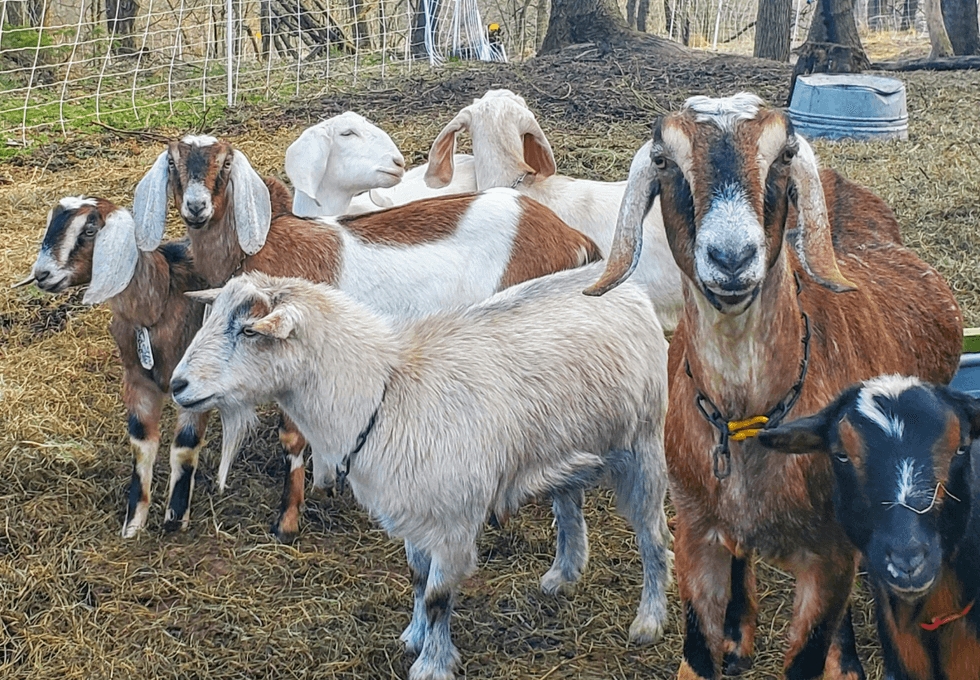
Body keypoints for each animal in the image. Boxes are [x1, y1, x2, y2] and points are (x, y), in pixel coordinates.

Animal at [29, 197, 209, 538]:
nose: (43, 274)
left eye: (89, 229)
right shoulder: (136, 379)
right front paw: (133, 524)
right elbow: (141, 444)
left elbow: (184, 446)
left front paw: (175, 520)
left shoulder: (197, 385)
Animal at [132, 134, 602, 540]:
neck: (263, 245)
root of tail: (570, 236)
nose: (196, 208)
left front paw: (287, 521)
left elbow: (292, 437)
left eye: (226, 163)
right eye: (173, 164)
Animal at [170, 265, 671, 680]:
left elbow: (437, 597)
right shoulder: (413, 512)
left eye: (247, 330)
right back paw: (562, 576)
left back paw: (648, 621)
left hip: (643, 443)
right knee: (569, 502)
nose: (177, 384)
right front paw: (413, 638)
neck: (382, 391)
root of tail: (628, 289)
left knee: (654, 535)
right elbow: (415, 578)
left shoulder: (452, 520)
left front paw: (432, 664)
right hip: (568, 445)